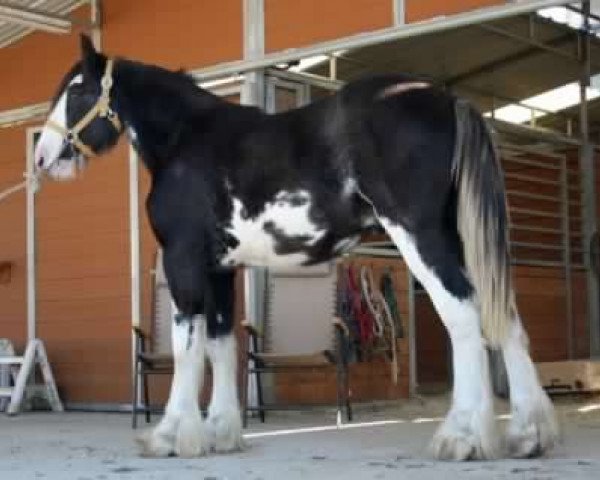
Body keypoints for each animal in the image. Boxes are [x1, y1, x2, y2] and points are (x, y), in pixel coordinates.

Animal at [32, 34, 556, 462]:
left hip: (421, 236)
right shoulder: (220, 268)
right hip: (460, 239)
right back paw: (529, 435)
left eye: (78, 89)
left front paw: (171, 436)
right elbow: (221, 344)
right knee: (505, 316)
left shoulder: (185, 262)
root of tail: (448, 99)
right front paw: (221, 434)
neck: (187, 138)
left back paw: (462, 438)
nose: (40, 156)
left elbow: (186, 348)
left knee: (464, 316)